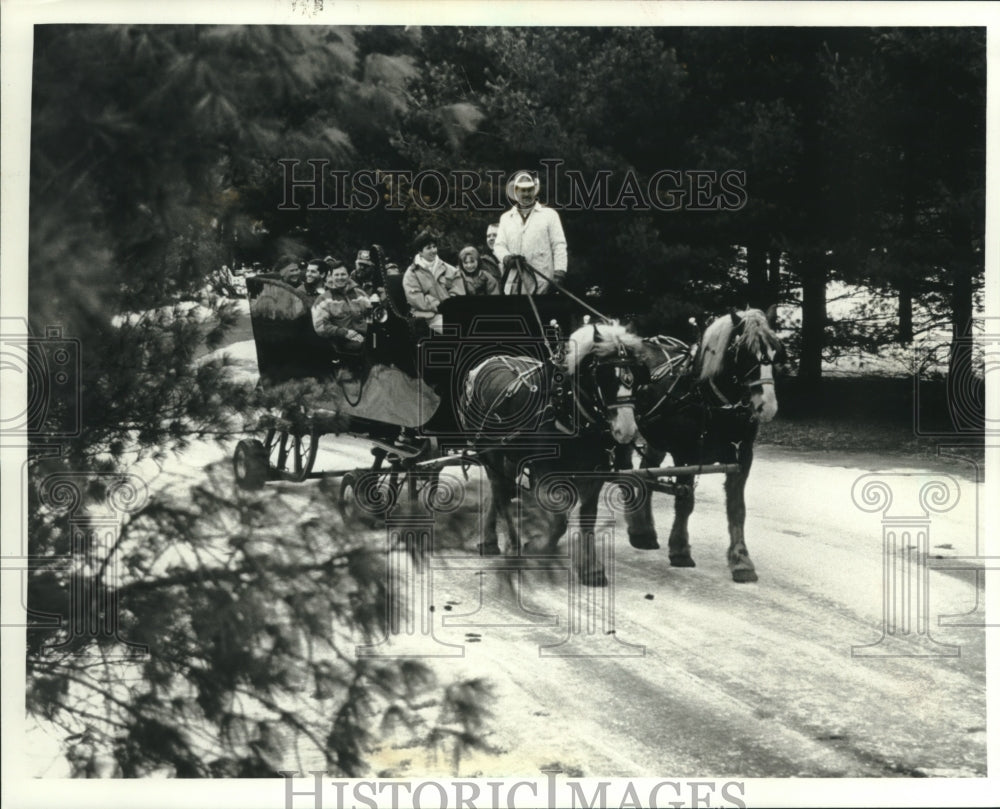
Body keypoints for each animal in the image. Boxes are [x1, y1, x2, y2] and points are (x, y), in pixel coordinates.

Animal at [460, 322, 648, 588]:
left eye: (634, 376)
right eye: (603, 376)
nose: (628, 430)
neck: (566, 406)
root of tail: (485, 364)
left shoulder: (595, 473)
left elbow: (587, 518)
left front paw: (591, 569)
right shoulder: (546, 472)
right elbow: (558, 521)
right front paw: (539, 548)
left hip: (510, 456)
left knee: (498, 493)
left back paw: (489, 539)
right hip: (491, 451)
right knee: (501, 493)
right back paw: (514, 545)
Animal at [624, 308, 780, 580]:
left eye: (775, 350)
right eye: (745, 352)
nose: (767, 406)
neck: (708, 397)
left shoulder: (742, 457)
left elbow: (737, 508)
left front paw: (741, 560)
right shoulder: (685, 455)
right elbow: (685, 502)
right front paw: (680, 551)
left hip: (656, 439)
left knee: (645, 472)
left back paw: (643, 533)